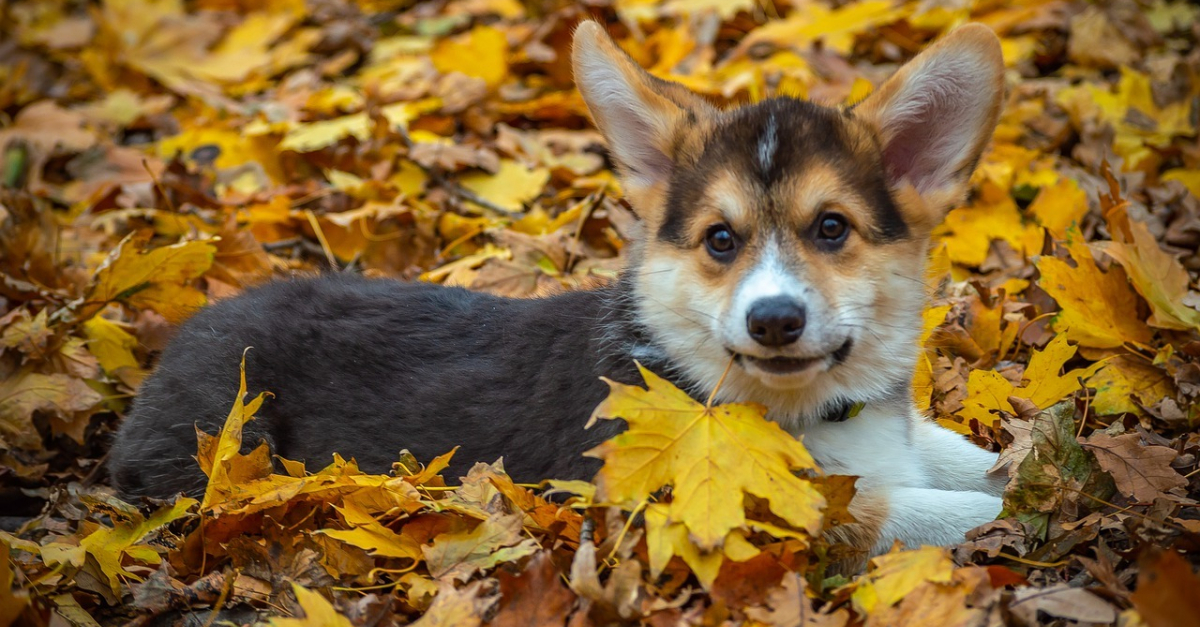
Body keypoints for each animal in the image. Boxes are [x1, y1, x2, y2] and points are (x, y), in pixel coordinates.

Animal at [110, 20, 1012, 557]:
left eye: (831, 228)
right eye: (720, 240)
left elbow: (966, 458)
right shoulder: (752, 507)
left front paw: (1025, 459)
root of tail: (184, 332)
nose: (775, 321)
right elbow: (927, 511)